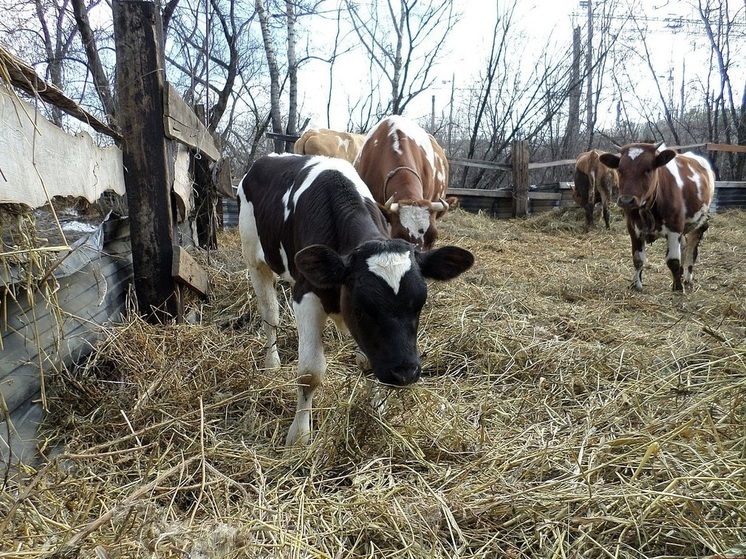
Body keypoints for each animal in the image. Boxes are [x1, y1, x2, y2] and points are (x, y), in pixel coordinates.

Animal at [237, 153, 470, 446]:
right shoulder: (307, 294)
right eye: (362, 307)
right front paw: (299, 436)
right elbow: (309, 373)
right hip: (254, 259)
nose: (405, 373)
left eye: (420, 304)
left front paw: (378, 409)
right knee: (270, 315)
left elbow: (368, 362)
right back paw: (272, 364)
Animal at [596, 143, 712, 294]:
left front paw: (678, 287)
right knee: (684, 246)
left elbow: (673, 260)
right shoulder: (633, 228)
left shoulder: (675, 227)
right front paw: (636, 284)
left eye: (648, 169)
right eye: (620, 170)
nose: (626, 201)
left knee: (692, 248)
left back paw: (687, 278)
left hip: (700, 223)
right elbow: (638, 258)